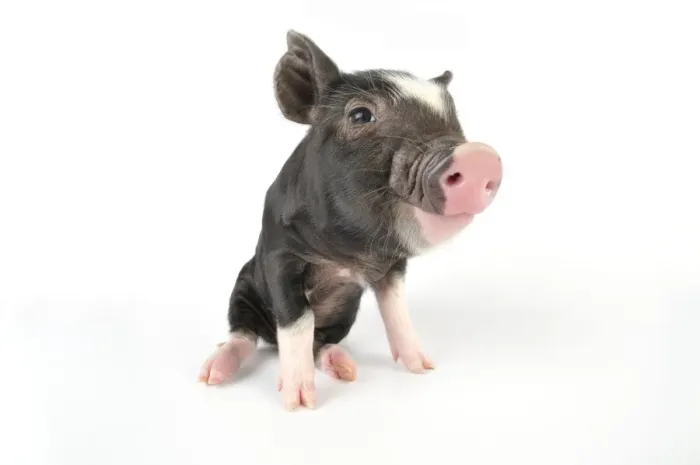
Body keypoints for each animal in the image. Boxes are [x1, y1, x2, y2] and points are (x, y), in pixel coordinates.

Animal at [199, 30, 503, 410]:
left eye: (454, 119)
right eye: (360, 115)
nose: (479, 156)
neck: (350, 252)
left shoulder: (393, 266)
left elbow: (397, 311)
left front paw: (424, 367)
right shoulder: (278, 254)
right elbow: (298, 322)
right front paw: (299, 403)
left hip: (346, 312)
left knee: (321, 341)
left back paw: (345, 368)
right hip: (243, 287)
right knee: (243, 332)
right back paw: (212, 373)